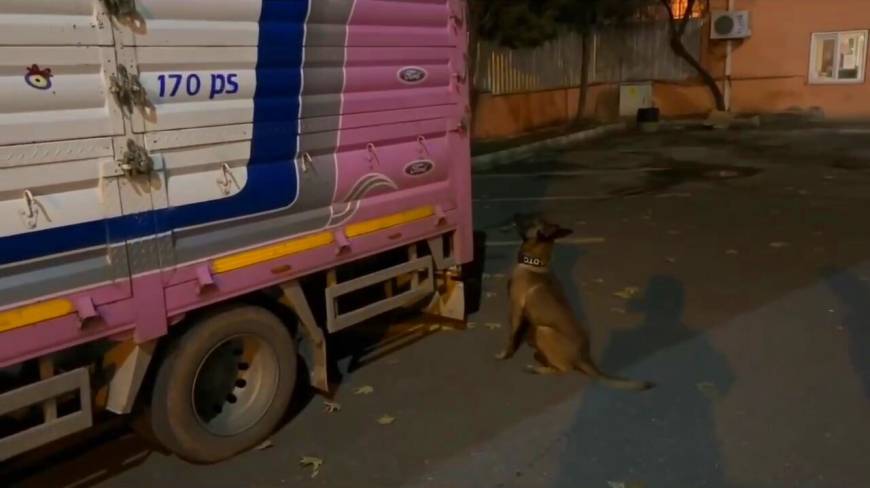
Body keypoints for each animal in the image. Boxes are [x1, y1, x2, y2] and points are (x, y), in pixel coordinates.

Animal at [498, 215, 656, 390]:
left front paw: (505, 354)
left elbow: (511, 337)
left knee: (564, 369)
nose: (515, 215)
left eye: (531, 221)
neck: (535, 263)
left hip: (544, 331)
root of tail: (584, 358)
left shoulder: (515, 309)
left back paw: (538, 368)